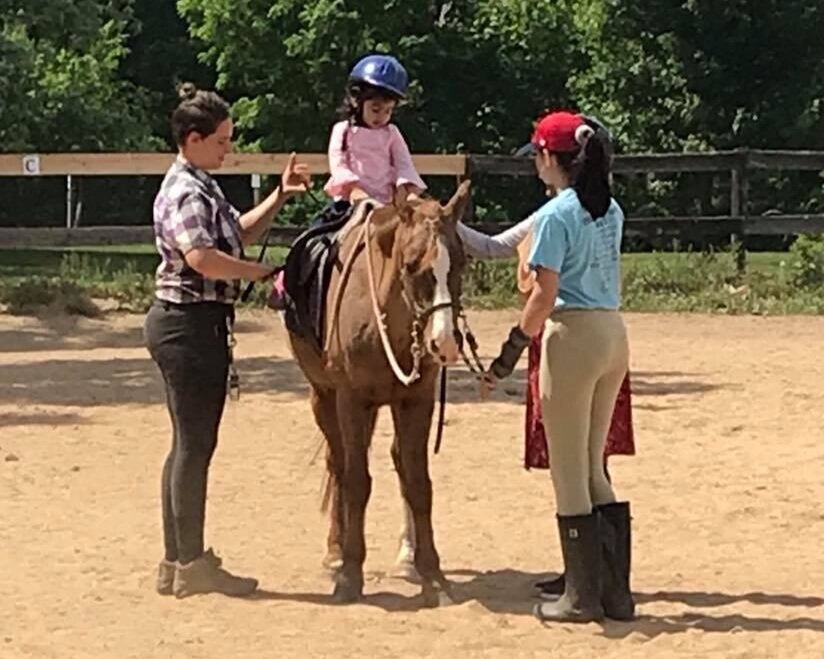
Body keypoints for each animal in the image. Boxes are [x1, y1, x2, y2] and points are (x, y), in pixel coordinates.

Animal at [286, 182, 471, 605]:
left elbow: (418, 483)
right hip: (324, 398)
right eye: (412, 264)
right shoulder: (352, 400)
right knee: (337, 465)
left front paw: (433, 574)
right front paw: (350, 575)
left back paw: (407, 559)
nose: (444, 343)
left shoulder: (416, 401)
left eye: (461, 263)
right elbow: (356, 482)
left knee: (397, 462)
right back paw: (336, 553)